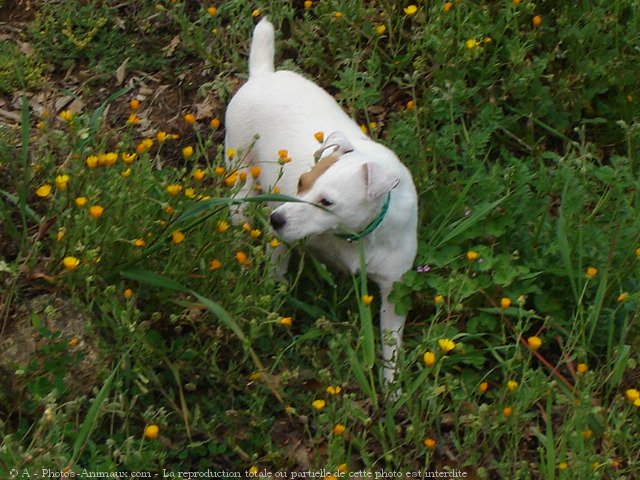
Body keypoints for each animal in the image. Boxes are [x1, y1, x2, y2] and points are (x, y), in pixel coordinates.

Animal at [222, 18, 418, 386]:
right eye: (301, 182)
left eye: (327, 202)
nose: (276, 220)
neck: (357, 236)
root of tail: (262, 75)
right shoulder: (283, 243)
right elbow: (275, 278)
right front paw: (269, 310)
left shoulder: (393, 289)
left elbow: (391, 347)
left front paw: (392, 391)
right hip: (239, 170)